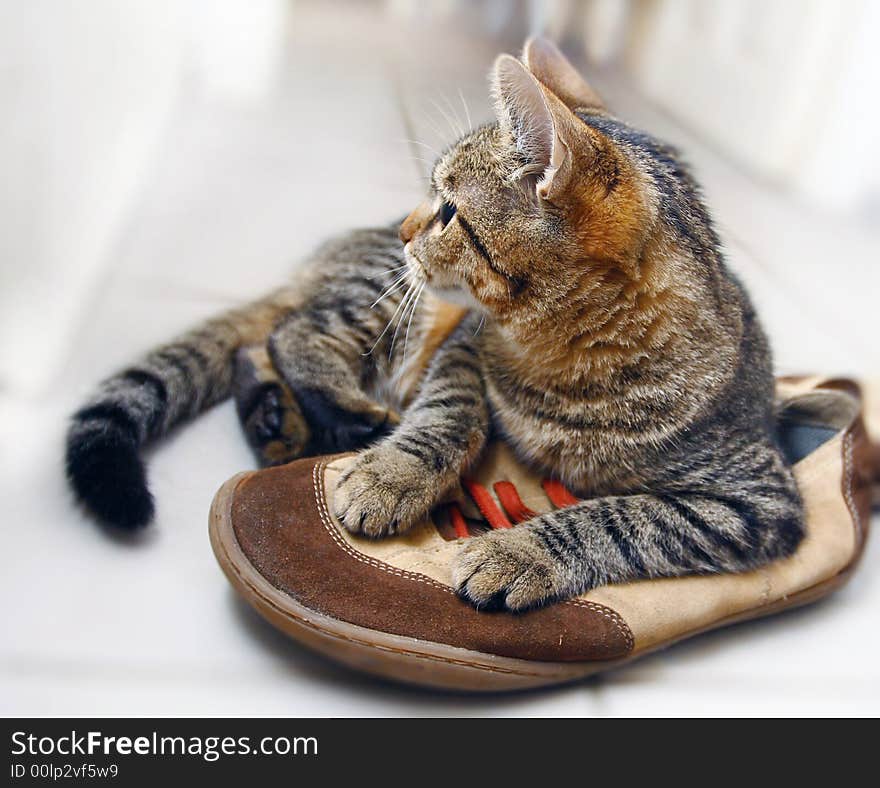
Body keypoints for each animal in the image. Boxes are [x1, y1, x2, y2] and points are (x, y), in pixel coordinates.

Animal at [65, 40, 800, 612]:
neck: (561, 359)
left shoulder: (755, 499)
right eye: (433, 194)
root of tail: (338, 247)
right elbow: (449, 410)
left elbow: (619, 517)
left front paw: (519, 552)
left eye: (449, 208)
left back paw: (284, 422)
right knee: (292, 331)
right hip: (386, 297)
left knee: (262, 344)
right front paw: (396, 474)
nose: (406, 227)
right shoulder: (462, 346)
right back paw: (339, 414)